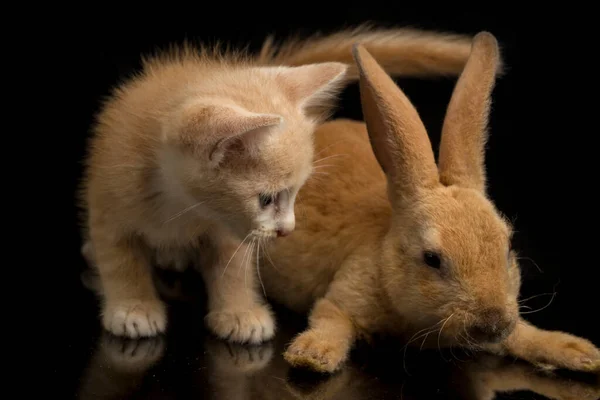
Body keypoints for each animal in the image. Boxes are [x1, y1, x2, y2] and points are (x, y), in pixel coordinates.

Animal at [79, 25, 476, 344]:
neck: (181, 203)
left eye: (297, 194)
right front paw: (132, 306)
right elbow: (119, 259)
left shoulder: (230, 228)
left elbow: (234, 267)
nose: (287, 230)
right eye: (266, 199)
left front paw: (240, 312)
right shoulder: (108, 200)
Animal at [258, 32, 600, 376]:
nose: (493, 324)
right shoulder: (341, 296)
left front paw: (578, 352)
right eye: (432, 259)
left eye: (507, 249)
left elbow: (523, 335)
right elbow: (330, 320)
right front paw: (311, 355)